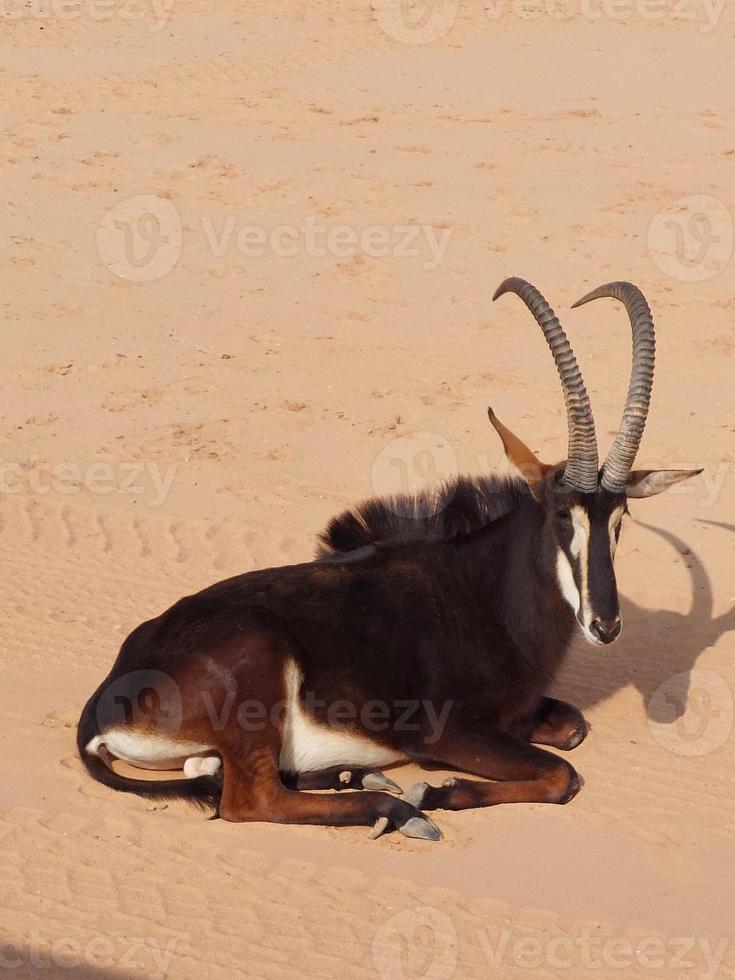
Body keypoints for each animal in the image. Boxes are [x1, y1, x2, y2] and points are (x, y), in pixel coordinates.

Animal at [77, 278, 704, 844]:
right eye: (560, 514)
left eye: (620, 518)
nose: (606, 624)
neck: (484, 591)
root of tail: (108, 694)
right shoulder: (444, 733)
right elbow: (561, 774)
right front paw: (436, 791)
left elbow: (573, 730)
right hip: (257, 666)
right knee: (248, 799)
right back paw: (394, 807)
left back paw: (357, 777)